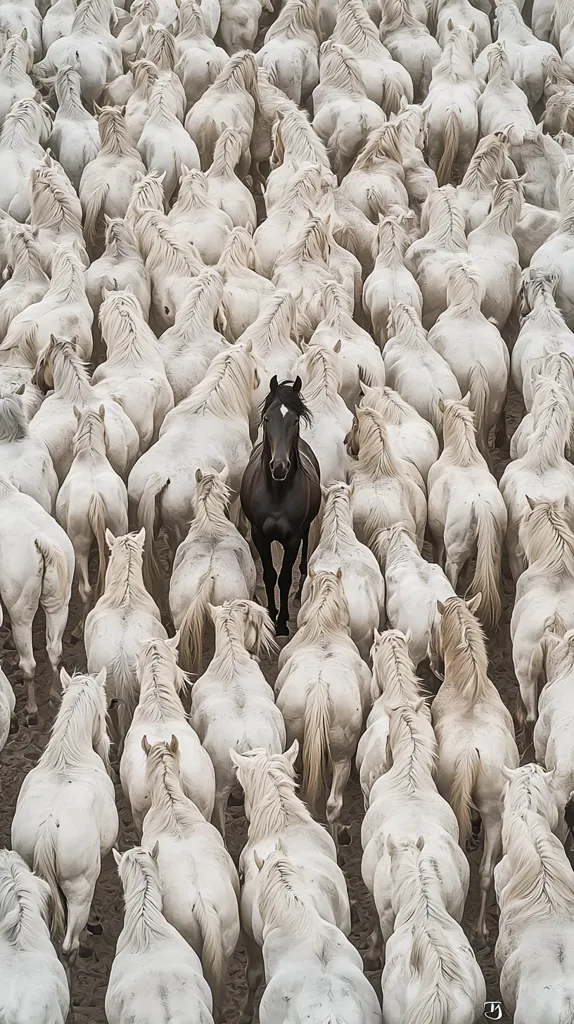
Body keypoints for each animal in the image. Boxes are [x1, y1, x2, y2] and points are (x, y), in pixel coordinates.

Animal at [240, 376, 321, 636]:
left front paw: (283, 622)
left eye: (294, 420)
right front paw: (271, 613)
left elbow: (284, 577)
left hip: (305, 528)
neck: (277, 494)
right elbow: (269, 575)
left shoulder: (292, 538)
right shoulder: (260, 535)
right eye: (267, 418)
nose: (279, 466)